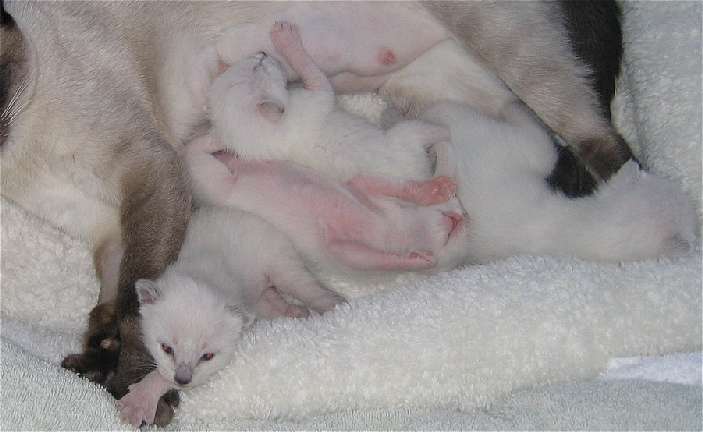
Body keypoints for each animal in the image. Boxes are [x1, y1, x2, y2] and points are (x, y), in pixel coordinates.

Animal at [118, 208, 344, 426]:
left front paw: (139, 400)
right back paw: (296, 313)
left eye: (207, 356)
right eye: (166, 348)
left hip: (282, 265)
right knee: (273, 301)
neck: (203, 275)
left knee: (311, 290)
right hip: (262, 297)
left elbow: (161, 375)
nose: (183, 380)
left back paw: (336, 308)